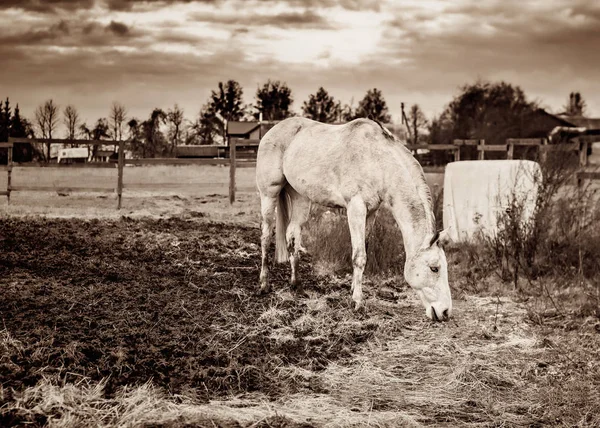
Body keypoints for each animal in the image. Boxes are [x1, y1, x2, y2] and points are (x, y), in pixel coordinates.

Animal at [255, 117, 452, 320]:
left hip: (300, 197)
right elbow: (359, 256)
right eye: (434, 268)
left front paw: (353, 289)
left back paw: (295, 284)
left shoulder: (371, 212)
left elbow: (364, 247)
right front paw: (357, 302)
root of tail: (274, 130)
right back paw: (264, 284)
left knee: (292, 235)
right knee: (266, 236)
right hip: (269, 195)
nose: (445, 312)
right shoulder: (356, 208)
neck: (377, 160)